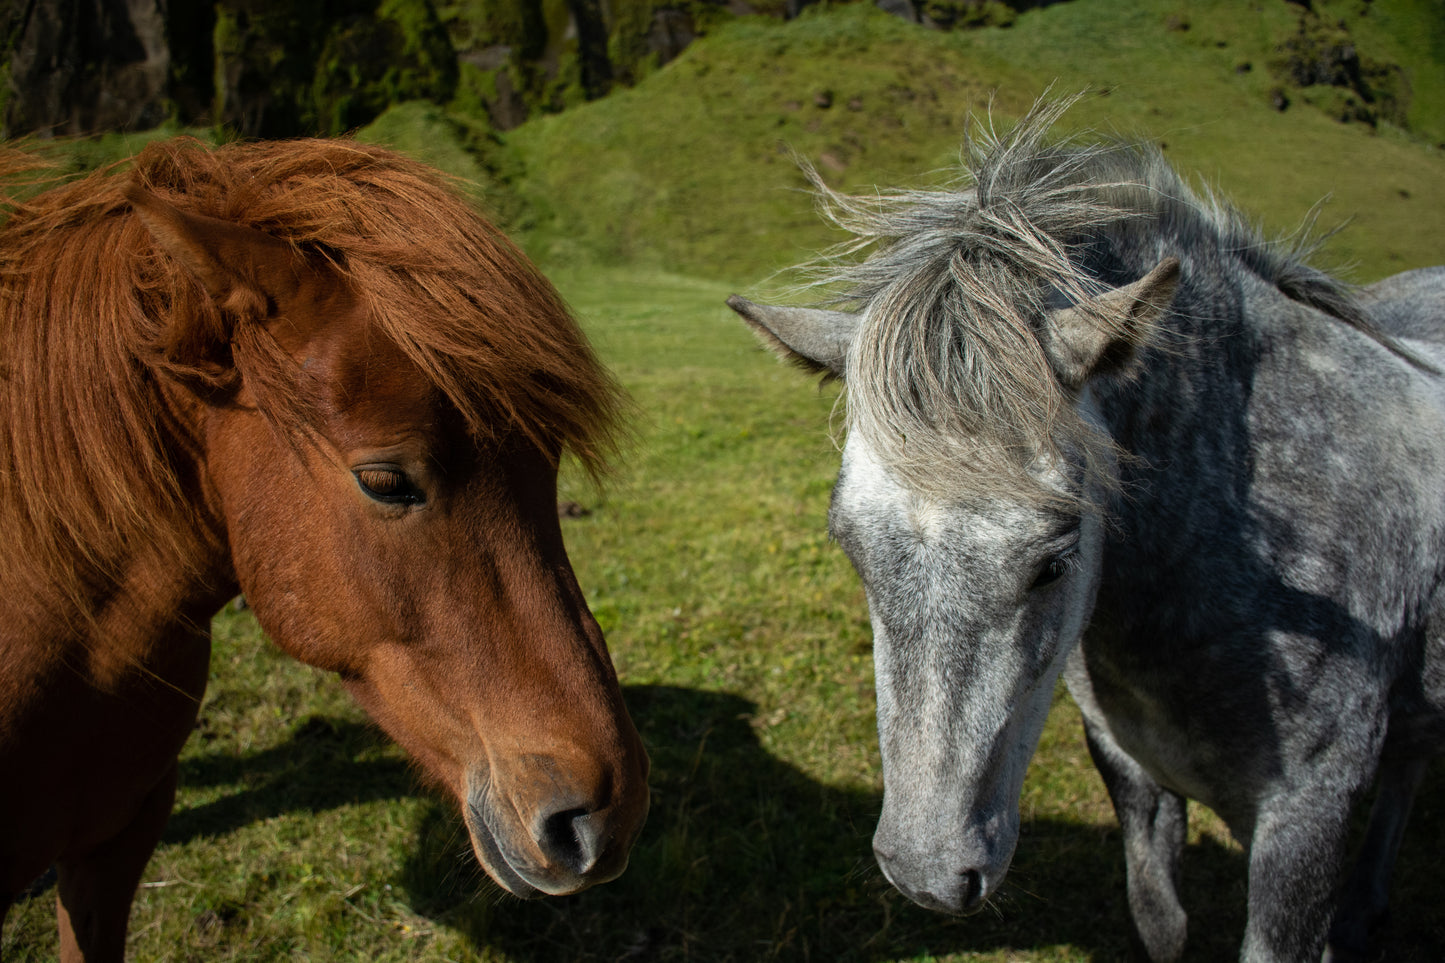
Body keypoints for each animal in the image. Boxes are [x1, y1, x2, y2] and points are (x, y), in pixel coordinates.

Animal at [728, 99, 1445, 962]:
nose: (926, 873)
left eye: (1055, 560)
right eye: (850, 546)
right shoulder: (1129, 773)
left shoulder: (1305, 821)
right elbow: (1160, 920)